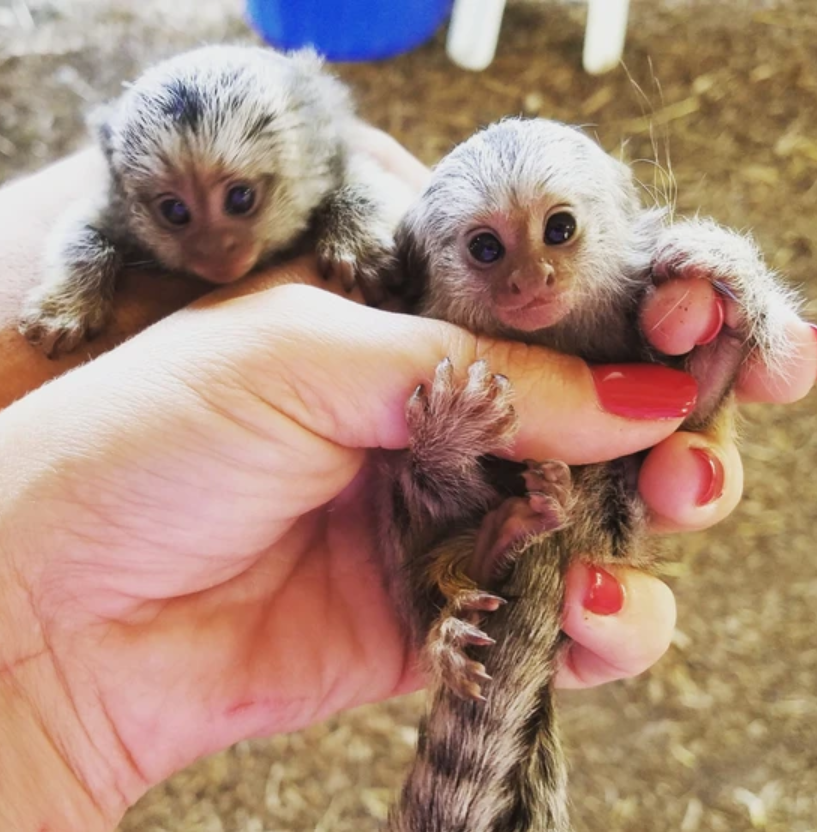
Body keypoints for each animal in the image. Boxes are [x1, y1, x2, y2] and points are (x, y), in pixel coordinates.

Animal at [19, 44, 411, 358]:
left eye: (240, 198)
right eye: (175, 210)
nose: (215, 250)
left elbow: (368, 186)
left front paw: (357, 244)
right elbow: (80, 229)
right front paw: (67, 304)